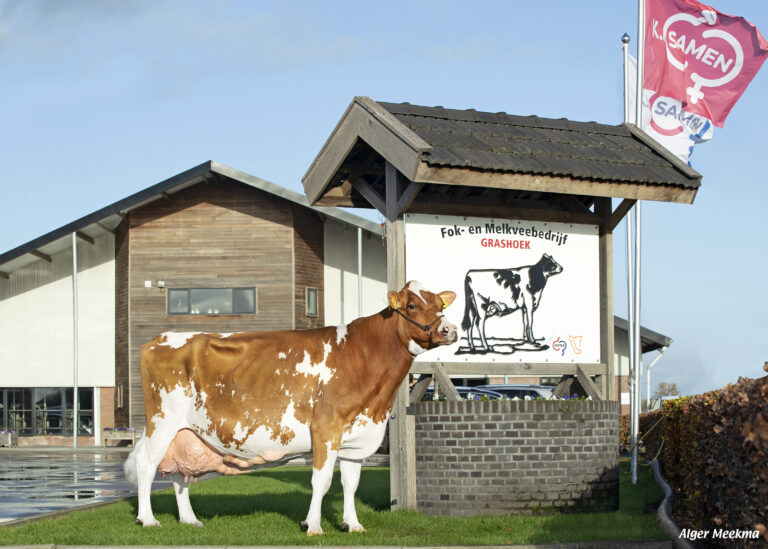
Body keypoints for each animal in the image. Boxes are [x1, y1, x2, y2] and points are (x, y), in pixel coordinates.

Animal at [125, 280, 456, 532]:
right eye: (412, 305)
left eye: (440, 304)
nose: (449, 330)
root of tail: (160, 338)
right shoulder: (325, 427)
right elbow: (321, 481)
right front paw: (313, 526)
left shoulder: (356, 435)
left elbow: (350, 484)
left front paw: (353, 525)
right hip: (162, 422)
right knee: (147, 466)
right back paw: (148, 519)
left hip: (184, 432)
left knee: (179, 475)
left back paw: (189, 520)